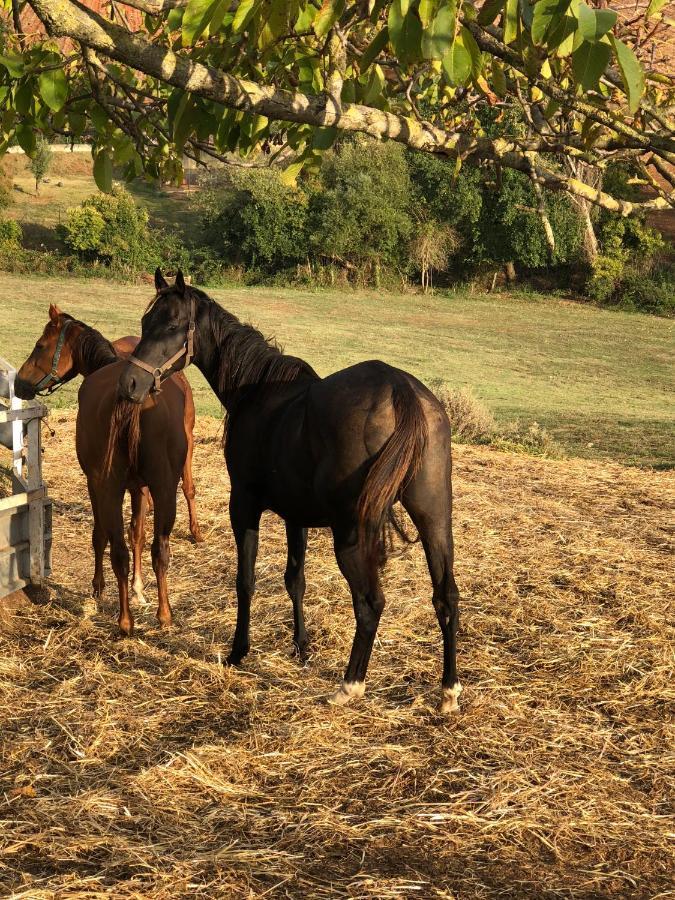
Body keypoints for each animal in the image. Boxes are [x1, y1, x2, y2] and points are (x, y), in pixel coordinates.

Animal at [15, 306, 193, 636]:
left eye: (40, 345)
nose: (20, 383)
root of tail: (134, 398)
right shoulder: (141, 487)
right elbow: (138, 534)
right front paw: (139, 590)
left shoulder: (95, 484)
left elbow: (101, 536)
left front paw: (98, 588)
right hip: (164, 488)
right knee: (159, 549)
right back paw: (164, 615)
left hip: (109, 488)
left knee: (118, 551)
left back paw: (124, 622)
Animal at [119, 270, 462, 712]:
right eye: (147, 323)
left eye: (174, 325)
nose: (131, 383)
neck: (258, 390)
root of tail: (399, 388)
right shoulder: (296, 516)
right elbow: (295, 579)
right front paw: (301, 646)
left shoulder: (244, 505)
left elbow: (245, 579)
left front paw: (238, 651)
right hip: (434, 519)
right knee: (446, 597)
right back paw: (449, 690)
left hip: (351, 534)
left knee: (370, 603)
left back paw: (350, 685)